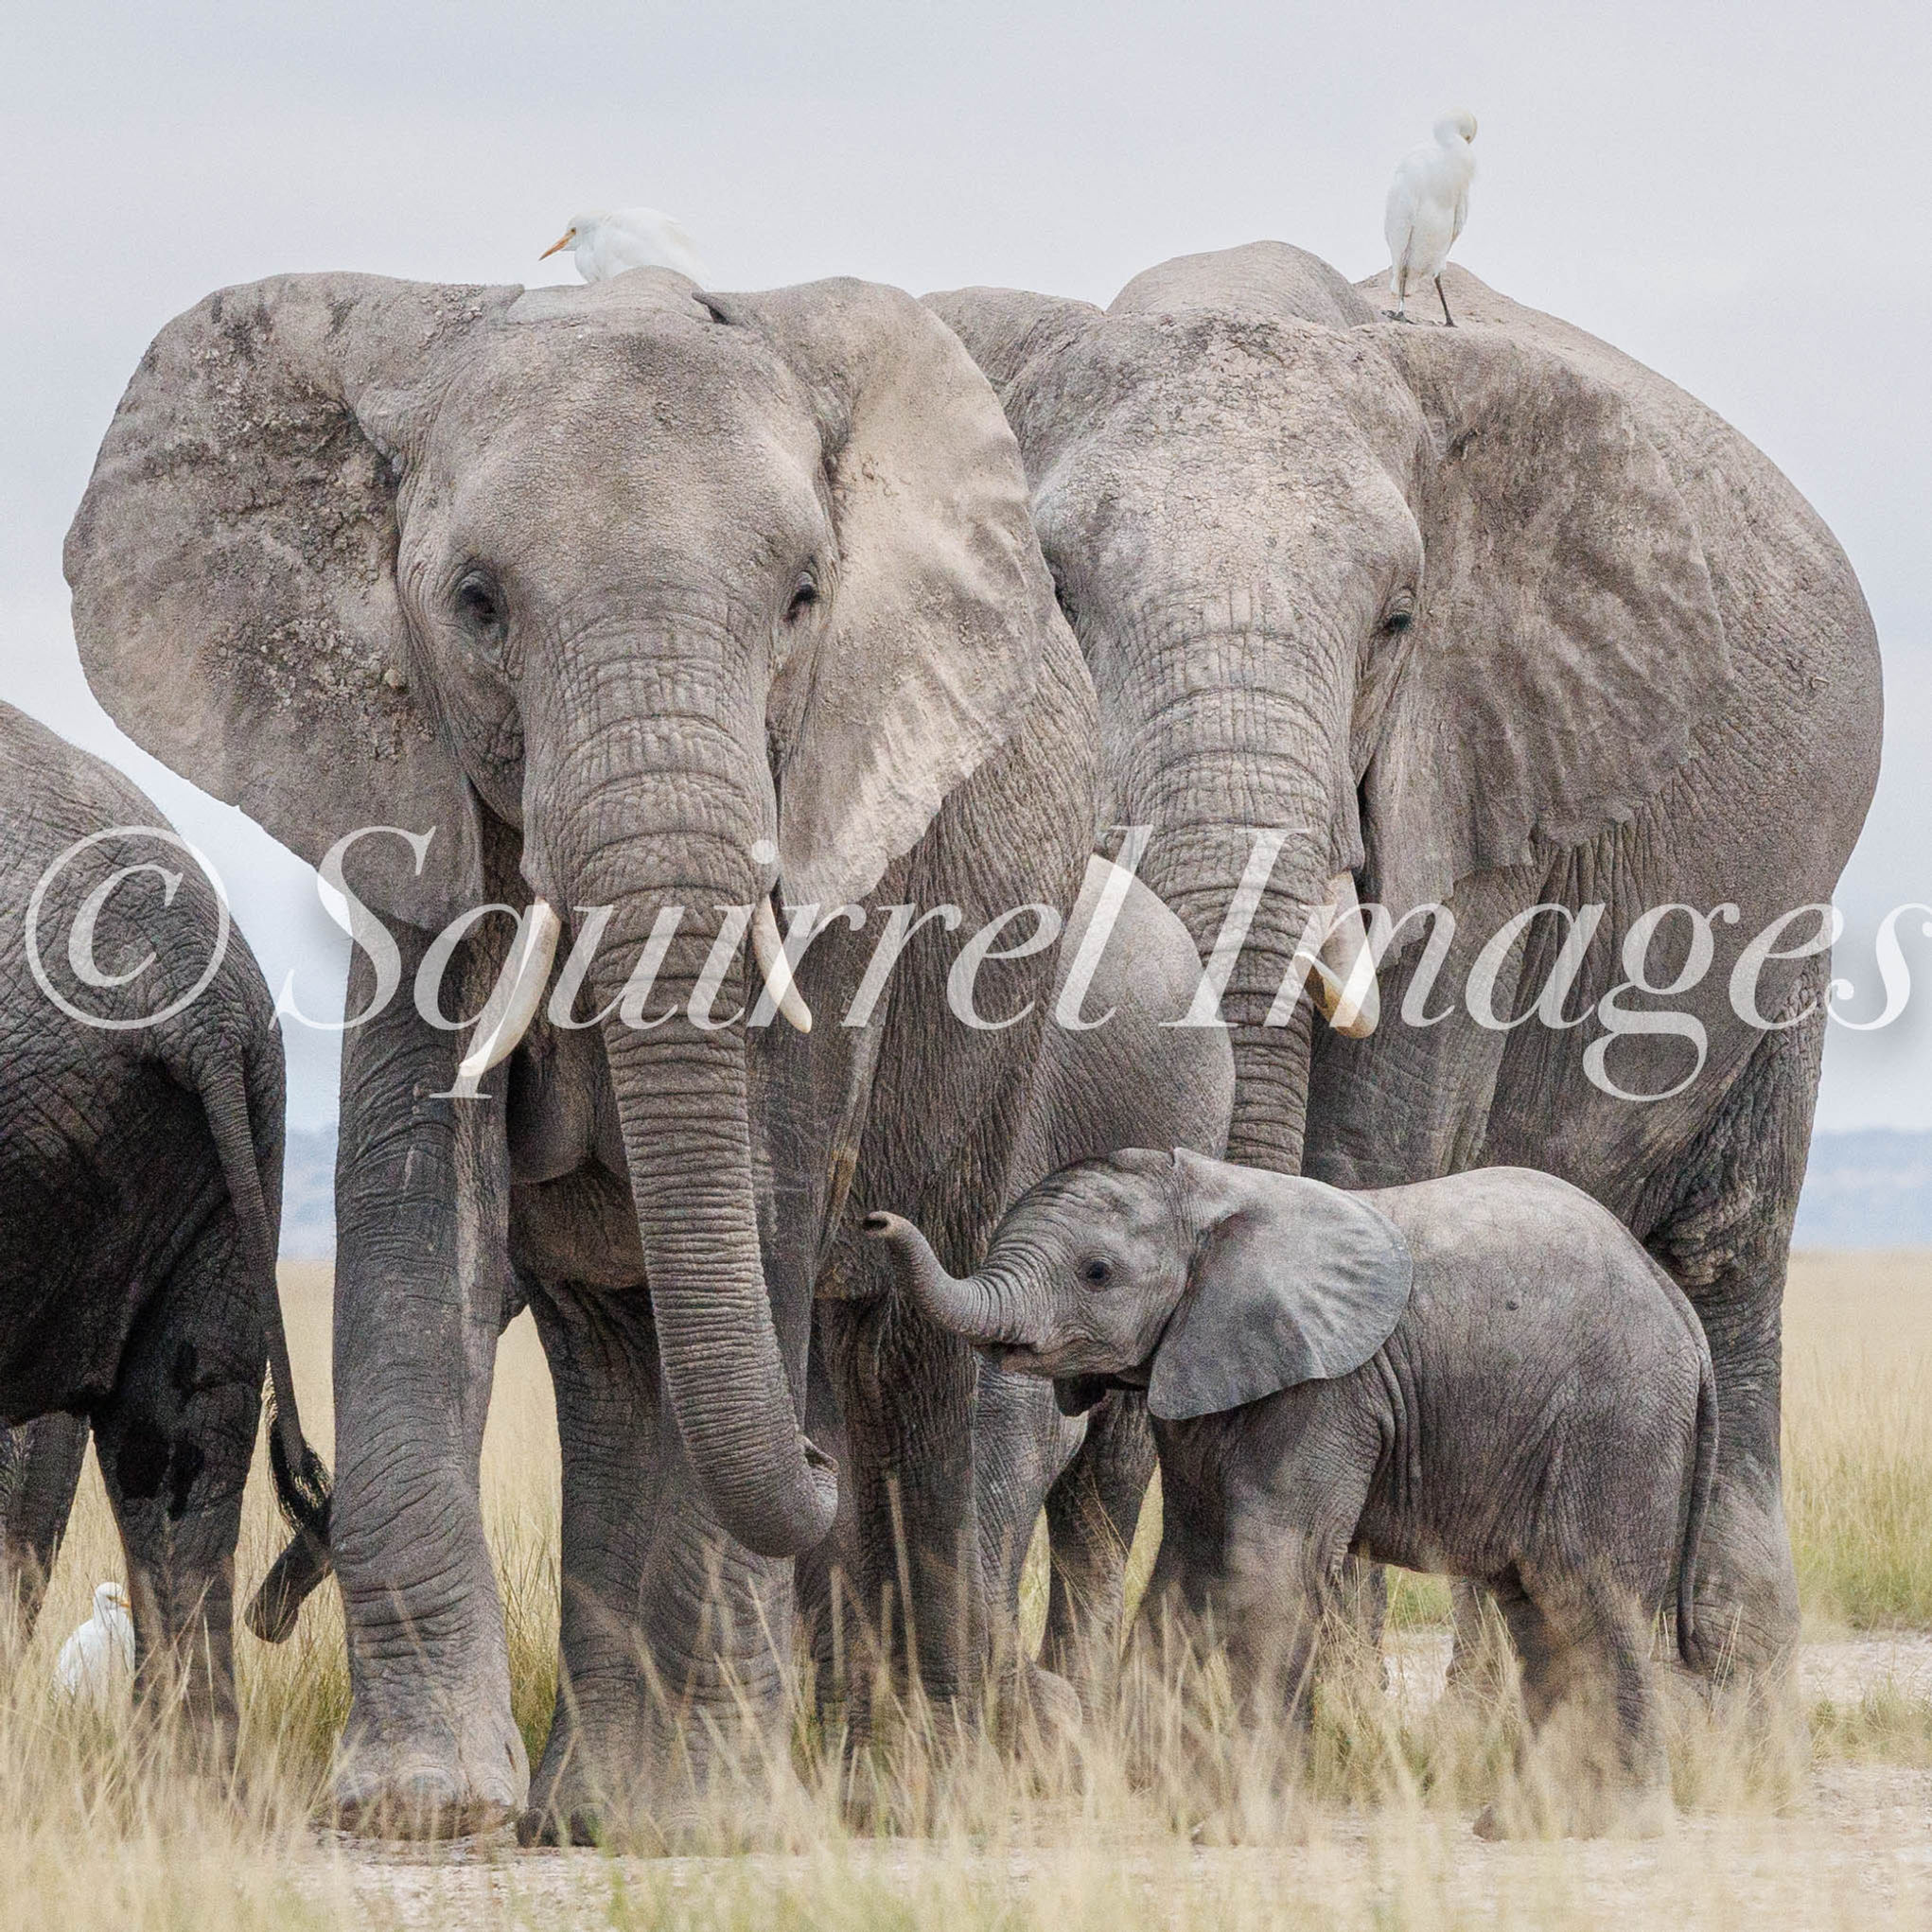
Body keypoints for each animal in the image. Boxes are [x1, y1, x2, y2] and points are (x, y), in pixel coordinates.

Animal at [66, 267, 1126, 1836]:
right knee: (627, 1353)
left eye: (802, 600)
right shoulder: (409, 813)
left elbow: (762, 1206)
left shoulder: (832, 843)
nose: (805, 1463)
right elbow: (414, 1222)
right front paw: (423, 1804)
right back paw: (604, 1802)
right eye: (475, 603)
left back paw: (910, 1779)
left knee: (902, 1361)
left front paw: (719, 1825)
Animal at [868, 1152, 1718, 1834]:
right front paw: (1170, 1809)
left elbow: (1265, 1566)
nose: (875, 1220)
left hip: (1616, 1420)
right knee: (1539, 1611)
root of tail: (1680, 1309)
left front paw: (1234, 1832)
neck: (1215, 1193)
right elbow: (1187, 1571)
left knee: (1584, 1595)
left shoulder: (1324, 1390)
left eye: (1097, 1273)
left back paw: (1615, 1825)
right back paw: (1522, 1828)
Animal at [925, 243, 1882, 1674]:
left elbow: (1375, 1139)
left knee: (1728, 1252)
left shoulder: (1483, 768)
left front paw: (1326, 1691)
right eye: (1054, 591)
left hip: (1786, 936)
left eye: (1396, 619)